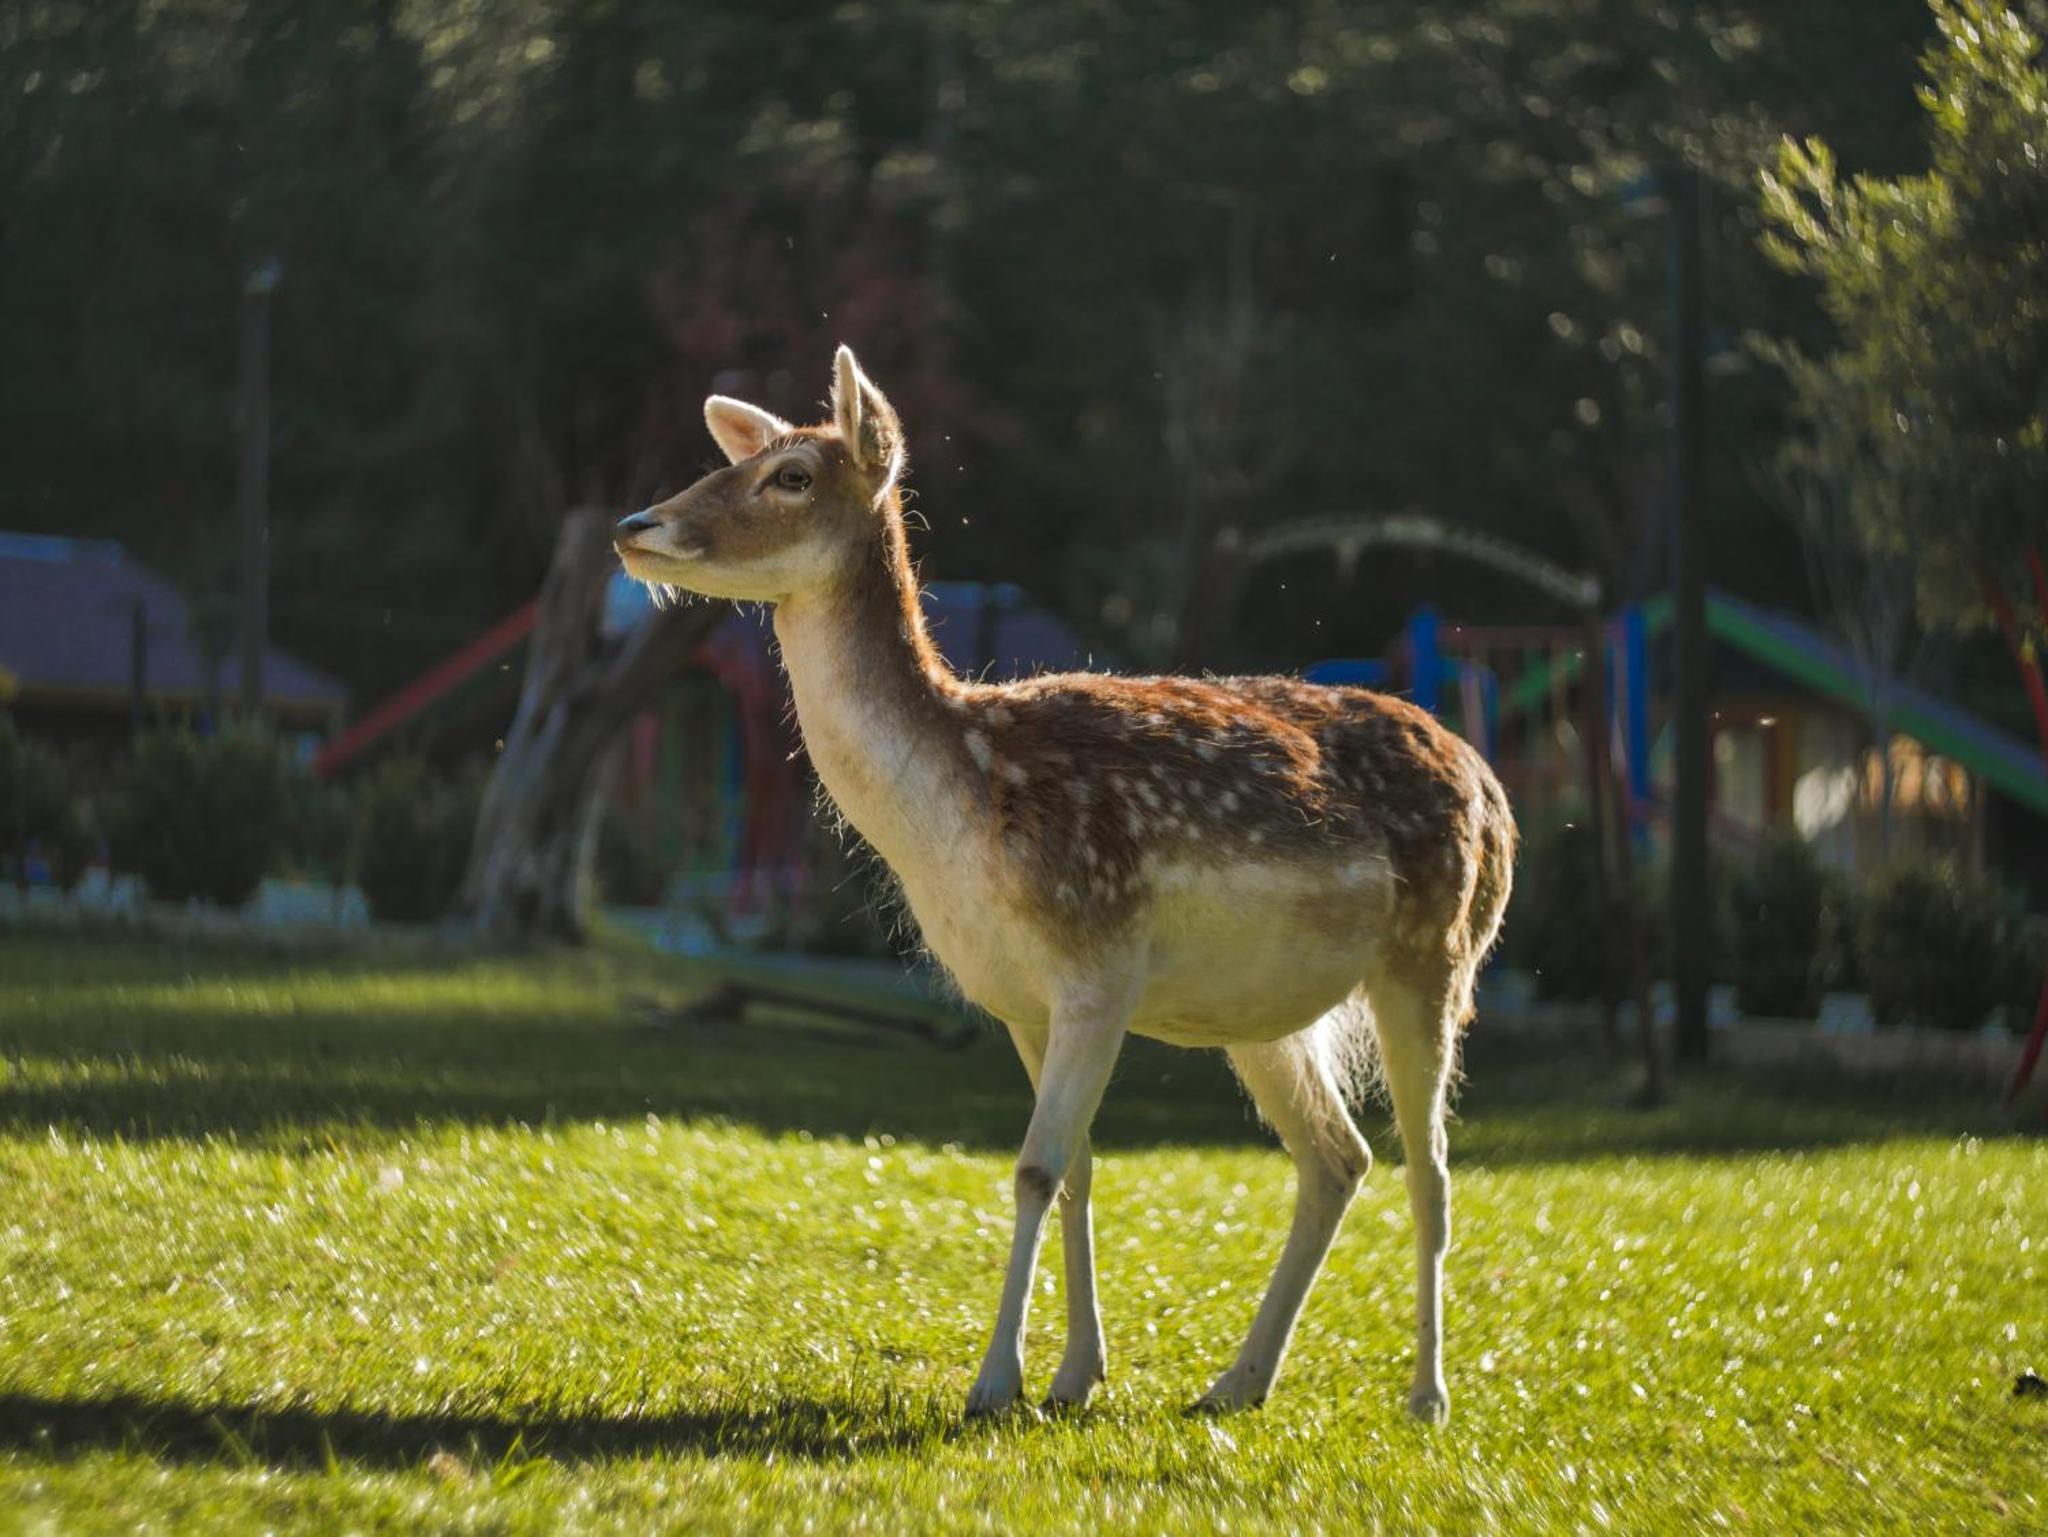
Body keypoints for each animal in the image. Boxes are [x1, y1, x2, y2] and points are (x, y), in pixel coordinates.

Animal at [614, 346, 1515, 1418]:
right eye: (743, 460)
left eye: (791, 475)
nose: (636, 525)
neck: (960, 817)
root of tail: (1495, 790)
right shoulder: (1017, 1000)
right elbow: (1077, 1171)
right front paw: (1075, 1374)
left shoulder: (1098, 967)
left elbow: (1035, 1169)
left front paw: (993, 1381)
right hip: (1268, 1013)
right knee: (1339, 1155)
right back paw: (1237, 1382)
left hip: (1436, 955)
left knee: (1433, 1172)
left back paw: (1427, 1395)